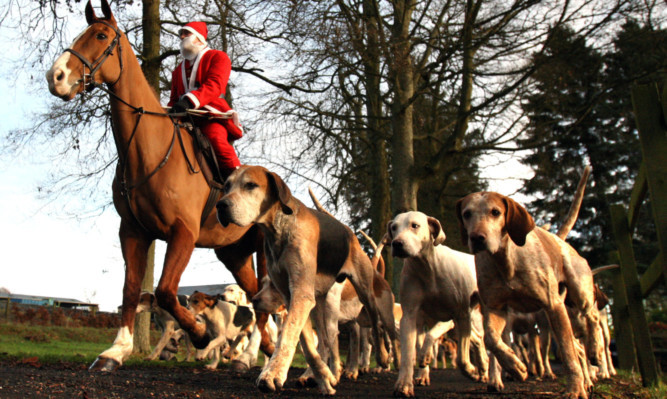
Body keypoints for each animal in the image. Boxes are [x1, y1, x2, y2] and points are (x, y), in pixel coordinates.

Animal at [45, 0, 272, 374]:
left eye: (101, 35)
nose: (56, 77)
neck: (148, 150)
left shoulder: (183, 234)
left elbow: (166, 290)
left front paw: (199, 334)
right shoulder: (133, 231)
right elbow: (130, 289)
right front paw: (116, 351)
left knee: (268, 304)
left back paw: (250, 354)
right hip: (234, 254)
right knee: (257, 300)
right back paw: (259, 350)